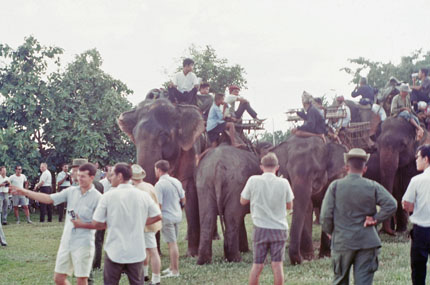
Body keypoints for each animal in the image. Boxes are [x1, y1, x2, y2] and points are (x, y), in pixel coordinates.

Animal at [116, 98, 206, 255]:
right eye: (135, 137)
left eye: (164, 135)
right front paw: (156, 253)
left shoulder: (191, 151)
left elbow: (189, 191)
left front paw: (192, 254)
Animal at [270, 136, 348, 264]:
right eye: (289, 171)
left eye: (316, 171)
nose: (300, 261)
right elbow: (307, 207)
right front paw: (308, 257)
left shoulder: (336, 178)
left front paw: (325, 256)